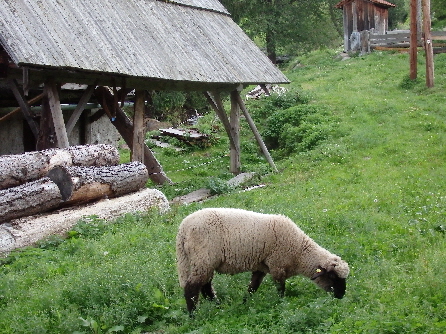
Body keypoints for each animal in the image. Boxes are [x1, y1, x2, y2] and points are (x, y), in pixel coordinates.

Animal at [176, 207, 350, 314]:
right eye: (333, 277)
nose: (341, 296)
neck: (300, 252)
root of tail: (183, 228)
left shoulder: (261, 266)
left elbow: (253, 286)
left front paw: (245, 302)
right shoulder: (277, 265)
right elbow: (280, 288)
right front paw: (281, 304)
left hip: (205, 262)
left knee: (205, 286)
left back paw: (218, 305)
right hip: (203, 259)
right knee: (192, 288)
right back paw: (193, 315)